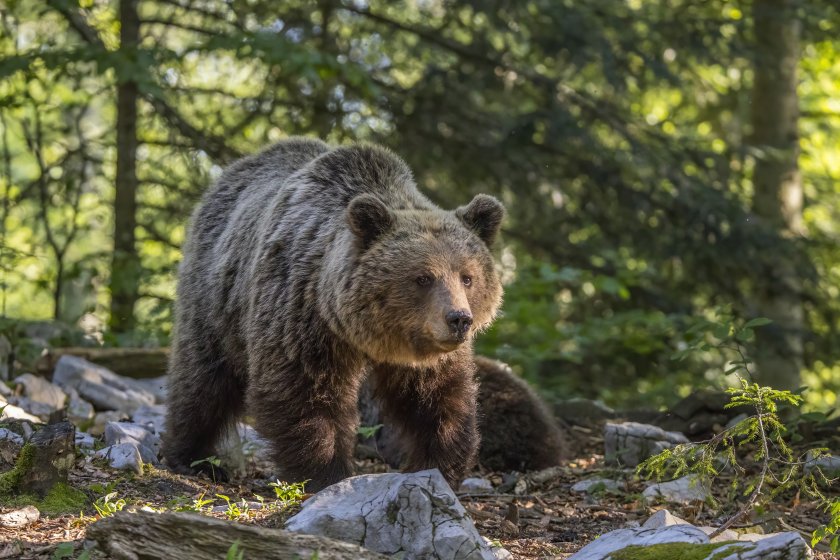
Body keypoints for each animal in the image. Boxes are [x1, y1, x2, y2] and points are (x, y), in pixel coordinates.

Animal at [164, 138, 506, 488]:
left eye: (467, 277)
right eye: (423, 277)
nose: (459, 319)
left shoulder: (425, 350)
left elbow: (437, 398)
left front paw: (438, 465)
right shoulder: (302, 314)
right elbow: (305, 391)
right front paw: (326, 472)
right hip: (216, 298)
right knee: (204, 379)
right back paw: (193, 457)